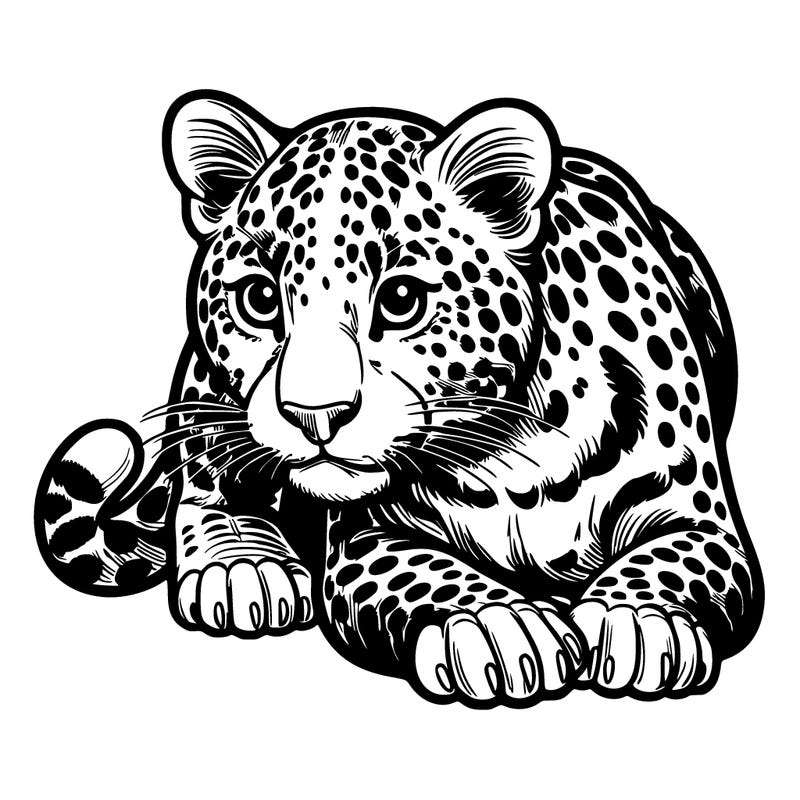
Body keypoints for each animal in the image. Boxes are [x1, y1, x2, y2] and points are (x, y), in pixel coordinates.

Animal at [34, 91, 763, 707]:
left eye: (402, 299)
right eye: (261, 298)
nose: (315, 416)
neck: (514, 450)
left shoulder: (699, 517)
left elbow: (664, 560)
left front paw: (635, 619)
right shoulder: (367, 538)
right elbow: (430, 572)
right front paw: (500, 625)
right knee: (209, 478)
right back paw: (245, 566)